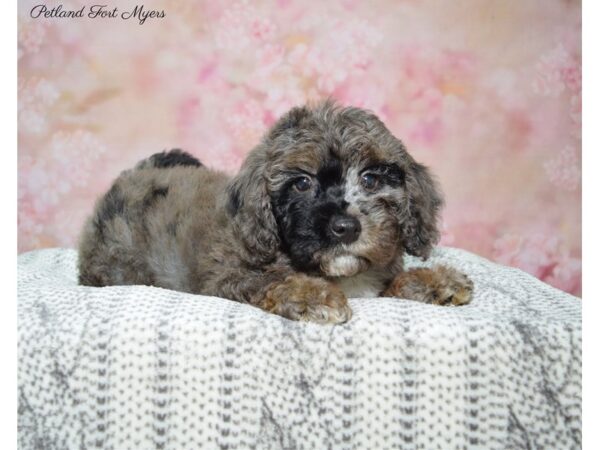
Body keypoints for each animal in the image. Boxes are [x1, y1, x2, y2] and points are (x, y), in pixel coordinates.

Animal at [78, 101, 474, 324]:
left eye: (371, 178)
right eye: (301, 183)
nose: (345, 227)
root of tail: (137, 171)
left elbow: (394, 281)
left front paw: (435, 281)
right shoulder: (227, 278)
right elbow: (272, 280)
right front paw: (313, 296)